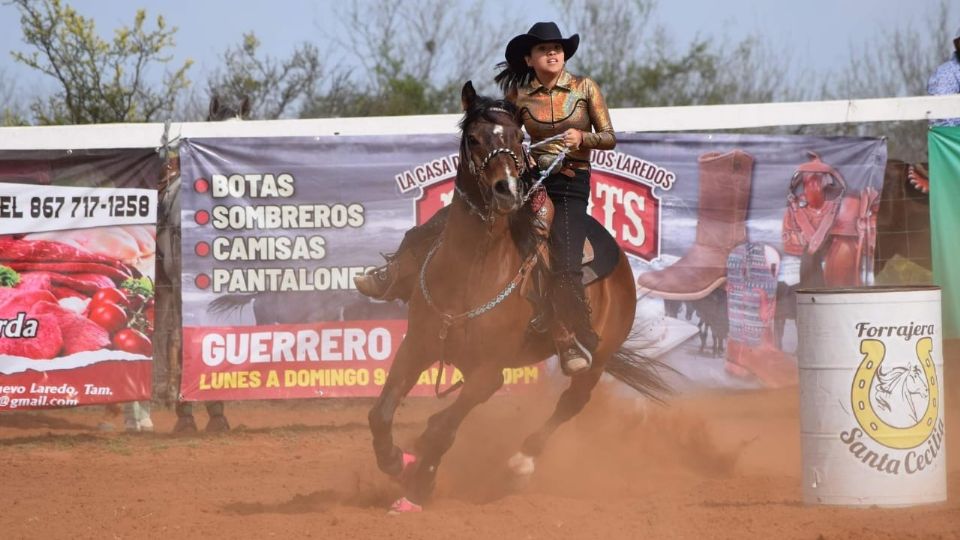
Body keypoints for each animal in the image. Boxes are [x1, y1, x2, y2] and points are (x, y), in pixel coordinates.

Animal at [368, 82, 668, 512]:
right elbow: (381, 414)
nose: (507, 191)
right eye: (474, 138)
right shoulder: (417, 346)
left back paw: (521, 462)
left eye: (516, 137)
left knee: (572, 402)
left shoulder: (489, 373)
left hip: (599, 354)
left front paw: (419, 482)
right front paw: (396, 461)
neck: (470, 272)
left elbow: (442, 427)